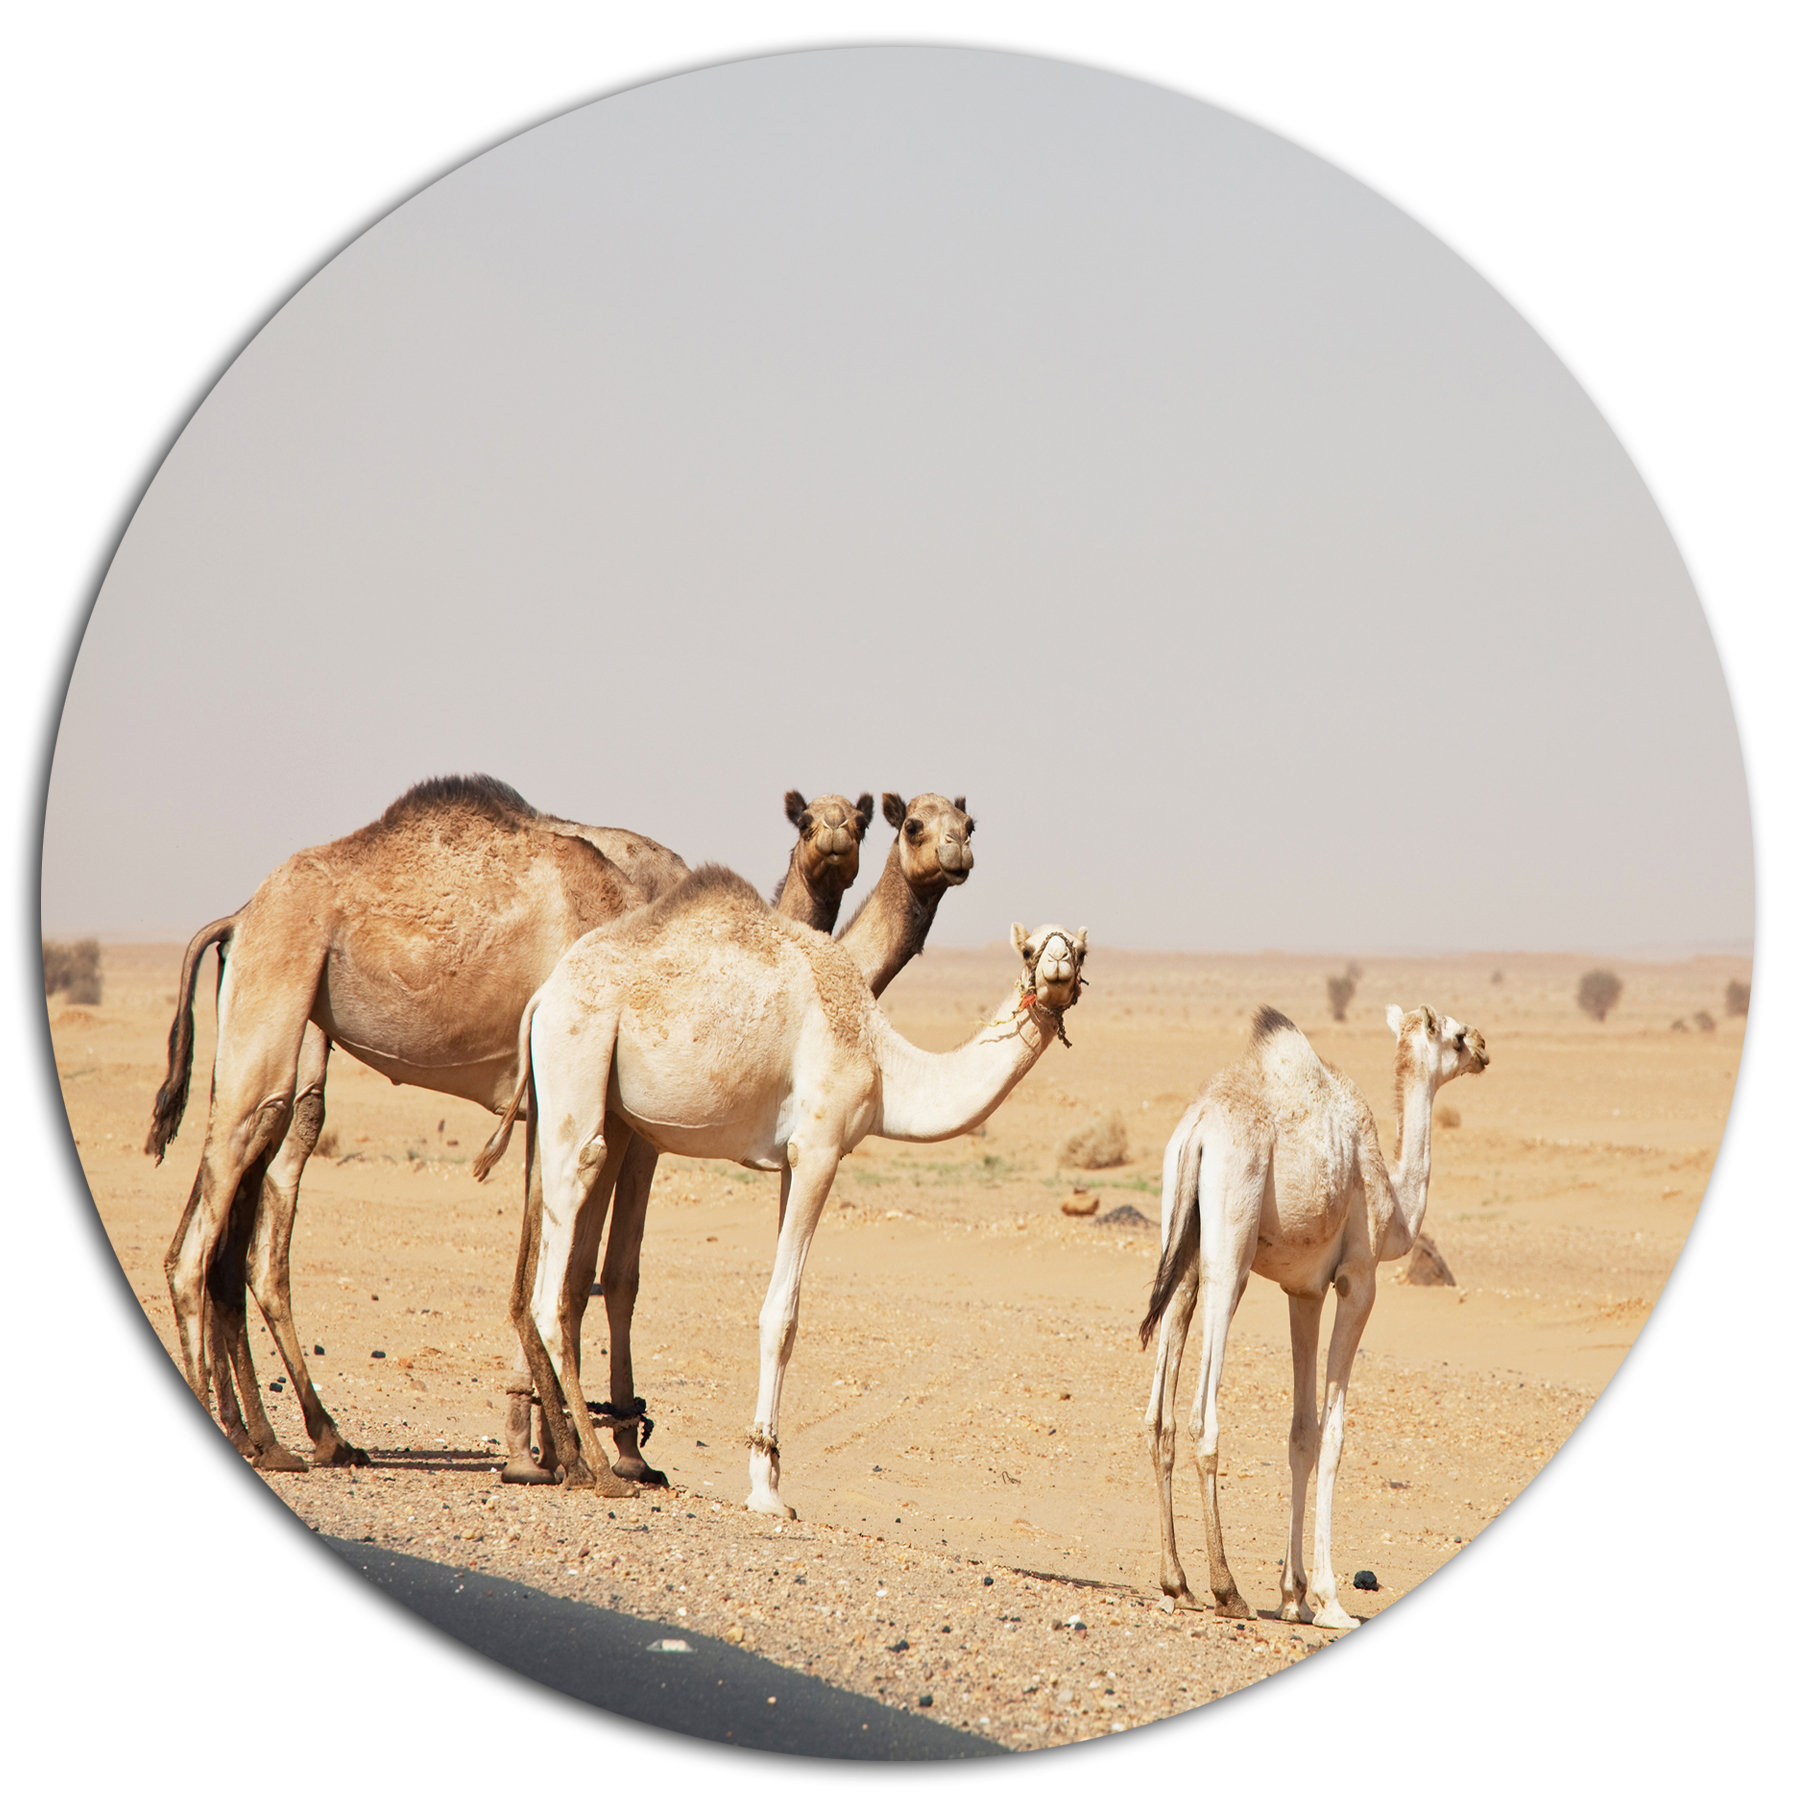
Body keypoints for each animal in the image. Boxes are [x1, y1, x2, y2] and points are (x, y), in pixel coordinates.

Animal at [148, 777, 870, 1479]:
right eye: (808, 820)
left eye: (861, 822)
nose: (836, 835)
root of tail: (240, 916)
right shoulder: (596, 1111)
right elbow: (574, 1276)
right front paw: (577, 1457)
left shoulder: (560, 1111)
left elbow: (555, 1271)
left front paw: (557, 1452)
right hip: (276, 988)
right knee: (211, 1231)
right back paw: (268, 1433)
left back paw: (282, 1438)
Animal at [472, 868, 1084, 1515]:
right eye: (1028, 950)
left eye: (1080, 948)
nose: (1057, 967)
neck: (880, 1058)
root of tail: (543, 997)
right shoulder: (820, 1146)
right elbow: (782, 1316)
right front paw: (767, 1489)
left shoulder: (794, 1157)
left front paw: (766, 1476)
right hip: (577, 1053)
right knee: (555, 1269)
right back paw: (601, 1471)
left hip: (584, 1097)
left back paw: (574, 1463)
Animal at [1140, 1002, 1488, 1629]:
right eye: (1454, 1033)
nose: (1482, 1048)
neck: (1394, 1203)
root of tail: (1198, 1132)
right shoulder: (1357, 1281)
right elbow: (1333, 1435)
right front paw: (1328, 1601)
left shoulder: (1303, 1293)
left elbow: (1301, 1433)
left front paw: (1293, 1594)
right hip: (1230, 1253)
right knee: (1204, 1416)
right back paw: (1226, 1589)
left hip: (1179, 1248)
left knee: (1160, 1416)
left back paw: (1175, 1582)